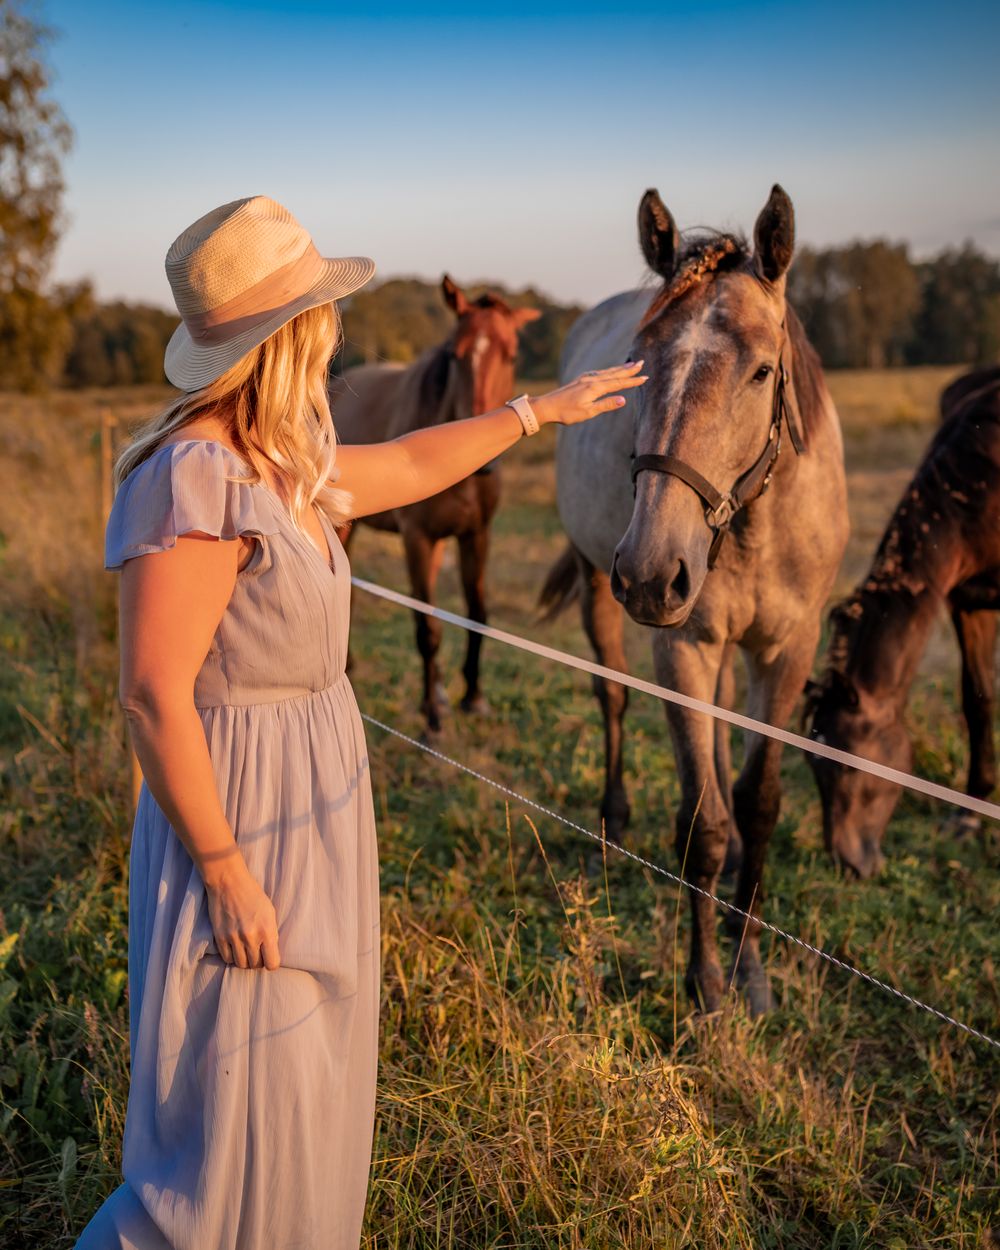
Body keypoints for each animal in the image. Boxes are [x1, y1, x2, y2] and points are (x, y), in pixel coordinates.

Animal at [330, 275, 540, 733]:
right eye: (456, 355)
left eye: (511, 355)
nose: (485, 461)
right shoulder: (417, 539)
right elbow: (426, 627)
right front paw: (431, 714)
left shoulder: (475, 535)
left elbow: (477, 614)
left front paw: (472, 698)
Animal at [539, 186, 848, 1016]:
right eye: (637, 368)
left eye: (762, 371)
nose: (652, 572)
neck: (753, 521)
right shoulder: (680, 645)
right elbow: (699, 824)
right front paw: (708, 981)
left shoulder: (787, 649)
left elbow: (758, 801)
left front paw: (749, 965)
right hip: (602, 591)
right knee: (613, 697)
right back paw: (612, 823)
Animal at [804, 367, 1000, 877]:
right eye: (814, 767)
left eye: (849, 765)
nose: (848, 864)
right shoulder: (966, 605)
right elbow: (978, 699)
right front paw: (970, 815)